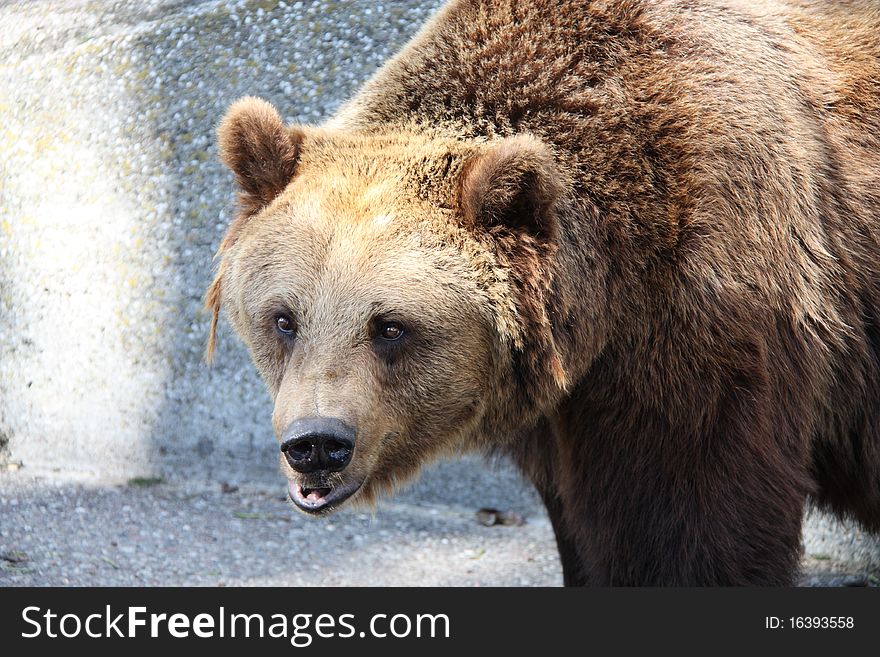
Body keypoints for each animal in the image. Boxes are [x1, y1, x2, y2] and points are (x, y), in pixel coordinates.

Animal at [206, 0, 880, 584]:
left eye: (390, 326)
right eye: (284, 319)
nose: (316, 445)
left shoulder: (711, 315)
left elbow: (697, 516)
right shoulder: (566, 408)